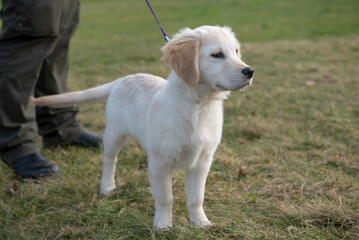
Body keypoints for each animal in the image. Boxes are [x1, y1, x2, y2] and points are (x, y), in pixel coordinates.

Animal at [33, 25, 253, 230]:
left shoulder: (202, 161)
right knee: (109, 161)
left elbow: (196, 197)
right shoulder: (160, 162)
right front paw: (163, 225)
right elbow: (165, 197)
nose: (250, 72)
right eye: (217, 55)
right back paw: (107, 186)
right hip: (114, 133)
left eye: (236, 51)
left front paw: (200, 222)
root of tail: (124, 79)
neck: (198, 106)